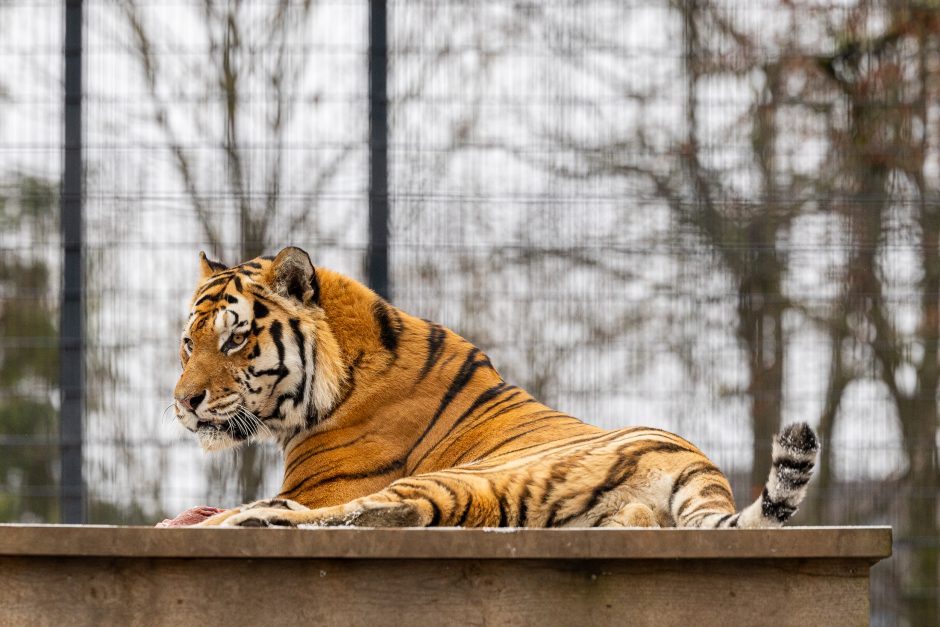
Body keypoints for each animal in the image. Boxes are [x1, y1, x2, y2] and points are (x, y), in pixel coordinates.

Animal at [173, 247, 820, 528]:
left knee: (390, 510)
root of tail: (696, 462)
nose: (184, 403)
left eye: (234, 340)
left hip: (473, 474)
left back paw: (244, 519)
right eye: (189, 342)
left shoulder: (319, 485)